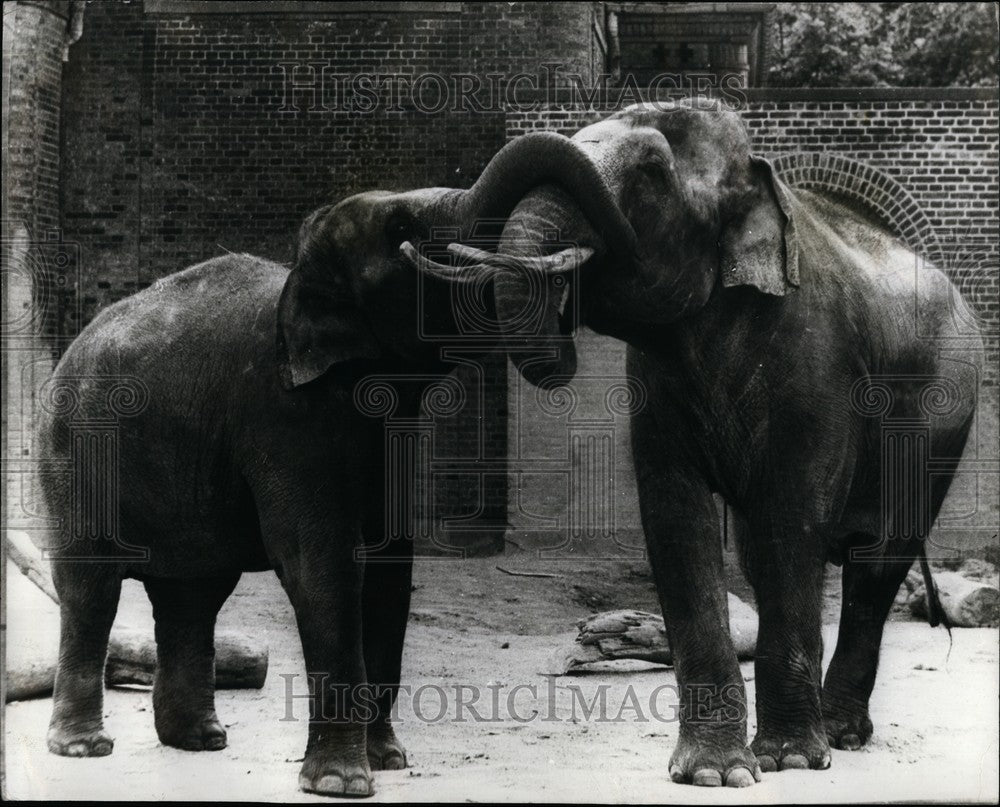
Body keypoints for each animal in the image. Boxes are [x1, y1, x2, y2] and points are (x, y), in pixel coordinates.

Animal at [35, 131, 619, 797]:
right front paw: (341, 783)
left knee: (194, 594)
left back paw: (201, 741)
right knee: (92, 586)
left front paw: (388, 762)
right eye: (402, 229)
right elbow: (323, 563)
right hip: (74, 453)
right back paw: (84, 748)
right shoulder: (283, 413)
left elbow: (391, 566)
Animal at [446, 99, 983, 787]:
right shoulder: (653, 383)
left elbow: (790, 523)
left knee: (877, 560)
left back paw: (839, 737)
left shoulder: (820, 368)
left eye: (651, 172)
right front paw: (712, 774)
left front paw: (786, 761)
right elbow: (678, 519)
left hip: (942, 416)